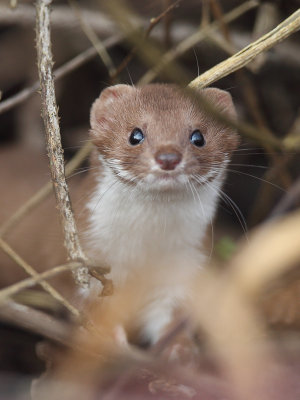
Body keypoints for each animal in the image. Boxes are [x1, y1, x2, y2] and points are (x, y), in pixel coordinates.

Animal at [80, 83, 239, 344]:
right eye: (135, 135)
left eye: (198, 136)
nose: (168, 157)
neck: (145, 250)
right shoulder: (93, 256)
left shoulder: (183, 267)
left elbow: (169, 318)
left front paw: (180, 349)